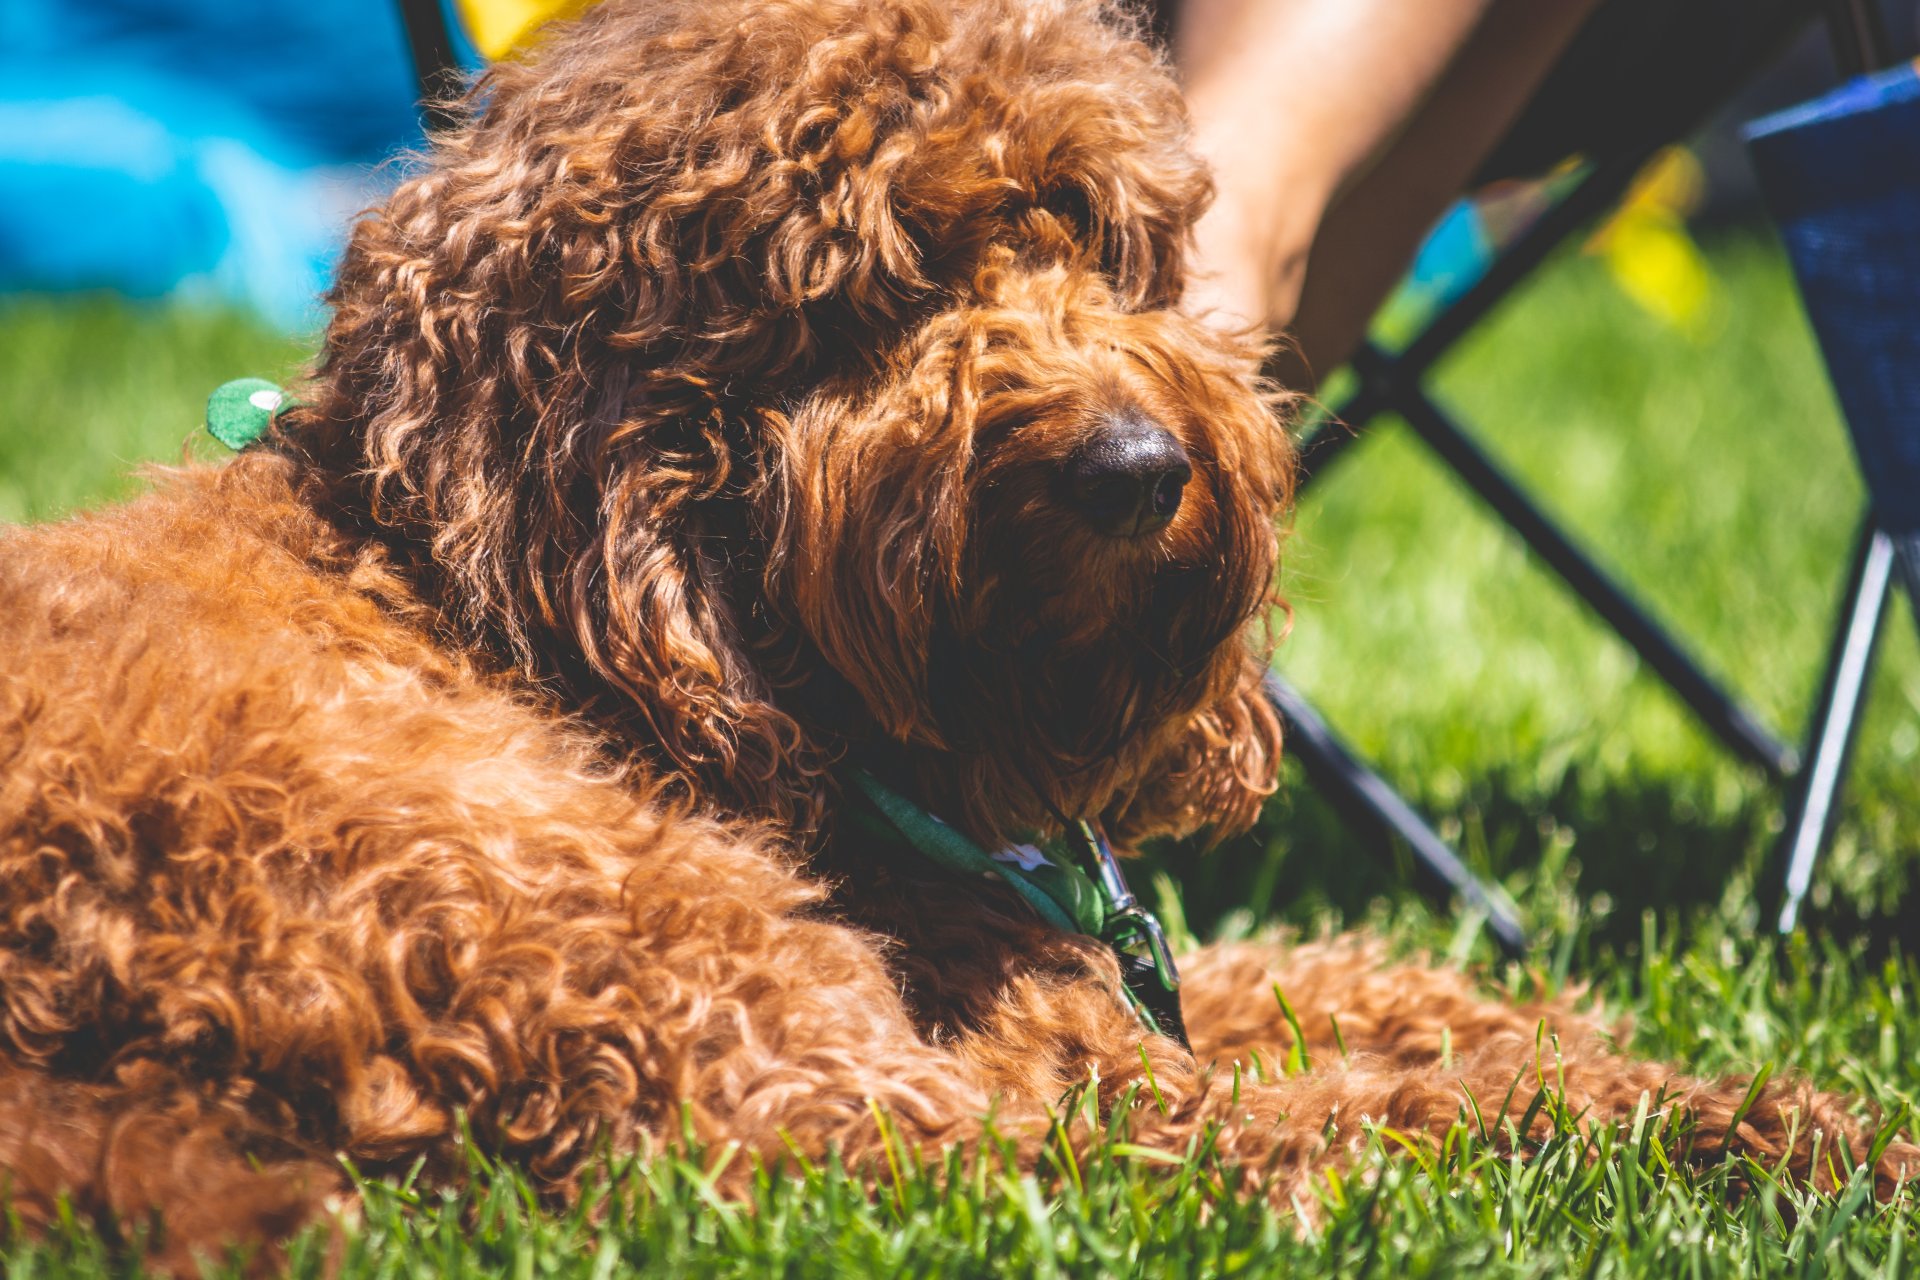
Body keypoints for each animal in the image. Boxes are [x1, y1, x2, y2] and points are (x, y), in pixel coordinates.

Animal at [0, 0, 1912, 1266]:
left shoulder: (1077, 966)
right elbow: (1375, 1088)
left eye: (1094, 235)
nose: (1138, 469)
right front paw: (1723, 1115)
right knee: (1047, 1164)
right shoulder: (1008, 1024)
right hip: (624, 936)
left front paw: (1595, 1027)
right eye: (871, 290)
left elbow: (1338, 980)